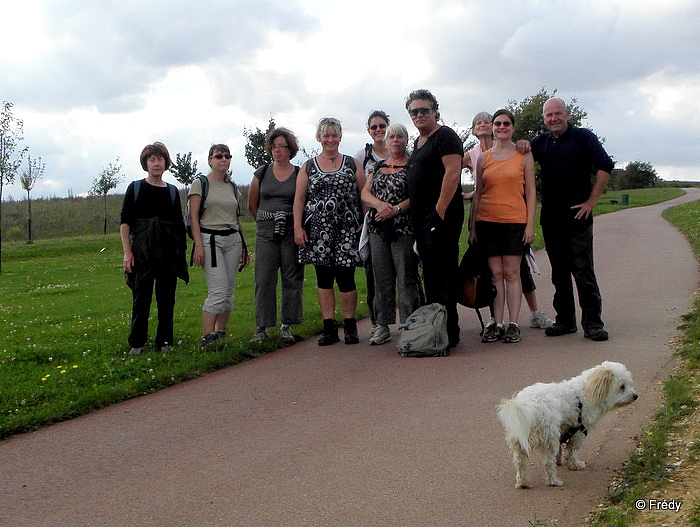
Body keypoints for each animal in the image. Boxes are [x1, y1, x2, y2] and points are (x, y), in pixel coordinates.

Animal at [498, 360, 640, 488]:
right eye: (622, 387)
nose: (635, 396)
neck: (587, 392)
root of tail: (526, 404)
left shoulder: (564, 429)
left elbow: (562, 448)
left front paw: (560, 460)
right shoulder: (579, 431)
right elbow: (573, 450)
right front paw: (574, 464)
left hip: (519, 440)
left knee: (519, 462)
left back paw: (523, 482)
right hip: (549, 437)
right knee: (547, 462)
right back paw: (553, 481)